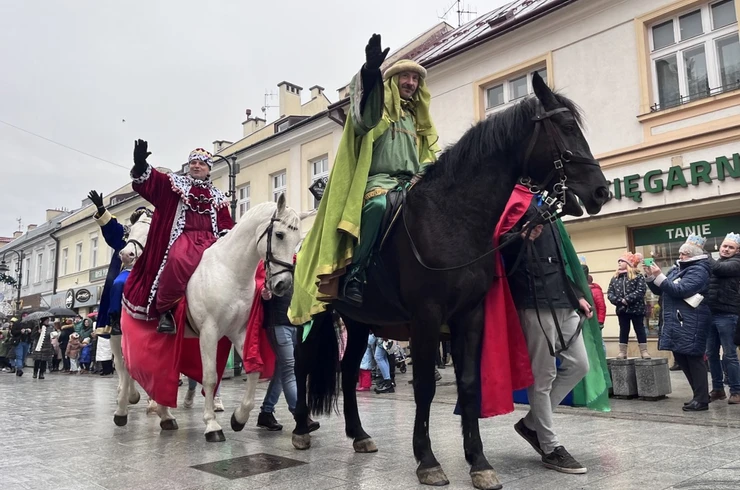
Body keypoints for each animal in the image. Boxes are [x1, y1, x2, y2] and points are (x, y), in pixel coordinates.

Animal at [188, 196, 300, 444]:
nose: (284, 285)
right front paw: (212, 425)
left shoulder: (239, 332)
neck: (230, 271)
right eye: (280, 235)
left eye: (298, 241)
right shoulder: (208, 331)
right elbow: (210, 377)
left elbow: (254, 370)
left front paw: (238, 418)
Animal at [292, 73, 608, 490]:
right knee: (299, 366)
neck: (453, 217)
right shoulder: (427, 317)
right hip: (306, 317)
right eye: (568, 127)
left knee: (346, 371)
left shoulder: (470, 315)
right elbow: (424, 386)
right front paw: (427, 460)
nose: (601, 191)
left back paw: (358, 434)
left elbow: (470, 384)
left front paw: (479, 462)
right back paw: (300, 428)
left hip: (359, 322)